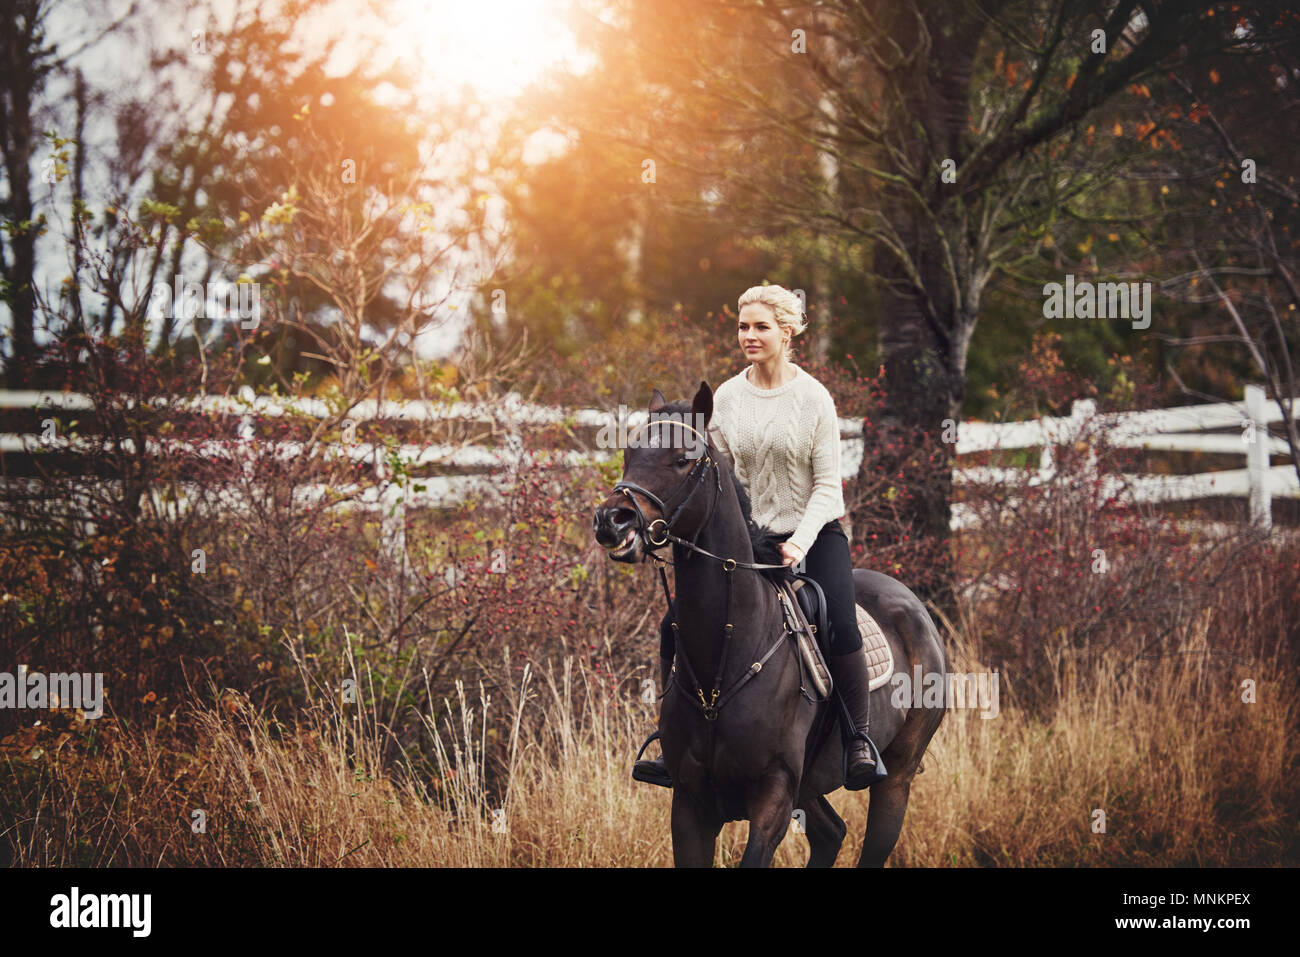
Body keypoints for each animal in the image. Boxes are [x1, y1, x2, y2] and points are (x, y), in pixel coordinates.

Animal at [590, 382, 946, 868]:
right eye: (629, 453)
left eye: (682, 458)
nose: (612, 521)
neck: (726, 656)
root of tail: (917, 611)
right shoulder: (689, 806)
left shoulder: (773, 798)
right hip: (810, 786)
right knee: (832, 833)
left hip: (896, 779)